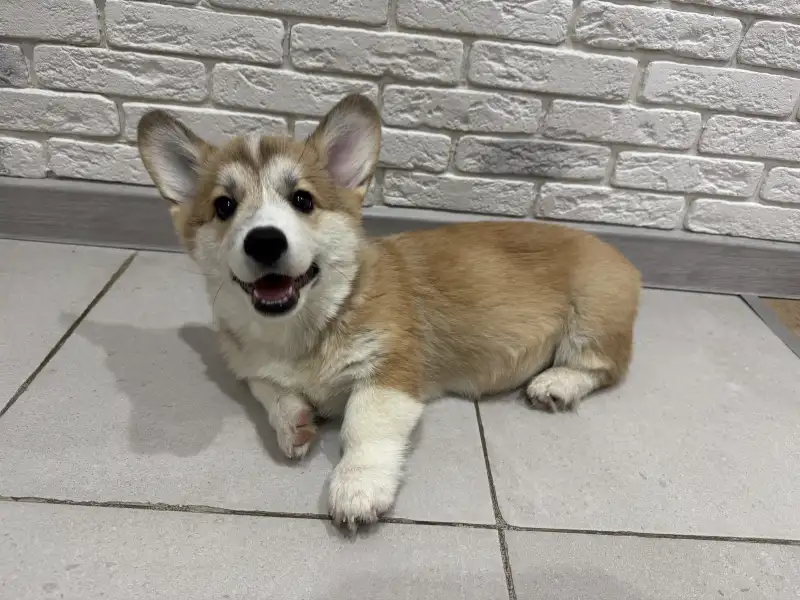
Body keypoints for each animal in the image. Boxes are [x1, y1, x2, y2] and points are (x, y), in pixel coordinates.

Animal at [137, 94, 641, 530]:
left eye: (302, 200)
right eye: (224, 206)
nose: (264, 241)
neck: (302, 329)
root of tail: (621, 256)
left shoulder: (389, 373)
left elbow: (364, 427)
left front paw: (356, 488)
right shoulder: (252, 370)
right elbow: (274, 396)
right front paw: (295, 424)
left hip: (591, 316)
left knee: (602, 366)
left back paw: (556, 384)